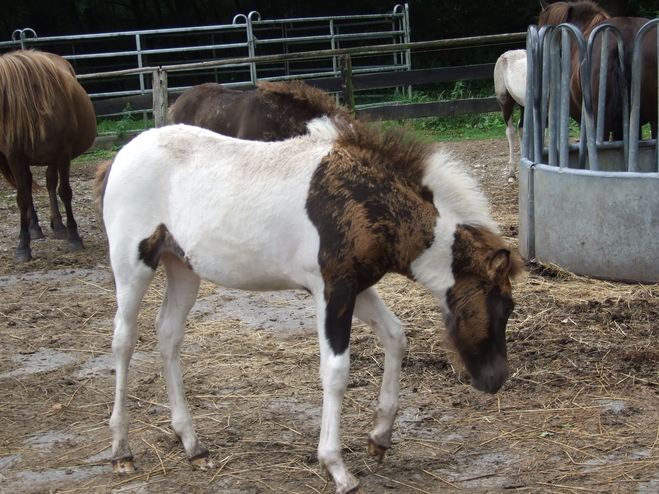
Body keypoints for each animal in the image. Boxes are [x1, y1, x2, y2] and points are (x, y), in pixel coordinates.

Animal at [0, 50, 96, 264]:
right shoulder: (14, 158)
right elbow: (22, 198)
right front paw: (22, 247)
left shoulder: (63, 153)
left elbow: (65, 192)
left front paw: (74, 238)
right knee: (29, 185)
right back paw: (35, 227)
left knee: (51, 182)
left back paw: (58, 225)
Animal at [94, 116, 524, 494]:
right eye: (505, 306)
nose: (496, 379)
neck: (366, 201)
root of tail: (118, 157)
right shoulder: (332, 290)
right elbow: (335, 371)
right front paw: (336, 468)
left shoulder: (357, 288)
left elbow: (395, 336)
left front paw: (380, 437)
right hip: (132, 265)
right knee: (123, 340)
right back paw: (121, 451)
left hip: (182, 267)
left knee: (168, 335)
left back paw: (193, 446)